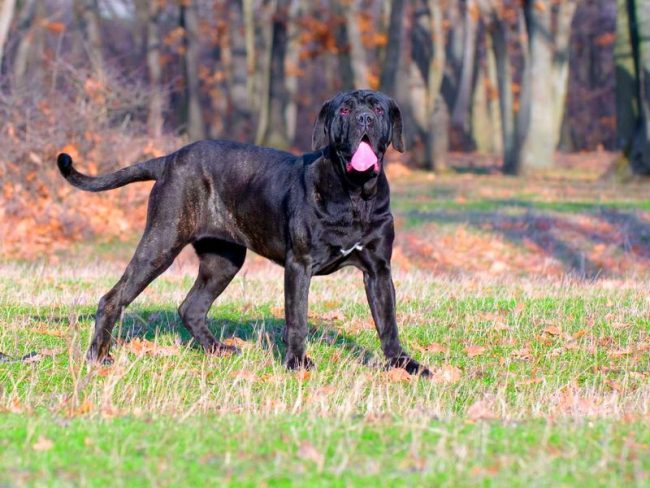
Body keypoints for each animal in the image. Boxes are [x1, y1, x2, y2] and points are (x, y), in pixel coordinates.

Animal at [57, 88, 430, 378]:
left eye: (378, 109)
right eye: (346, 109)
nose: (364, 119)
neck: (355, 193)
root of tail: (169, 159)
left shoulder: (378, 269)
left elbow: (388, 321)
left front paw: (403, 364)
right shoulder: (300, 264)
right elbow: (297, 317)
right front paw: (297, 363)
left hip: (223, 261)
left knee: (191, 307)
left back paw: (217, 349)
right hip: (161, 243)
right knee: (113, 298)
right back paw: (99, 356)